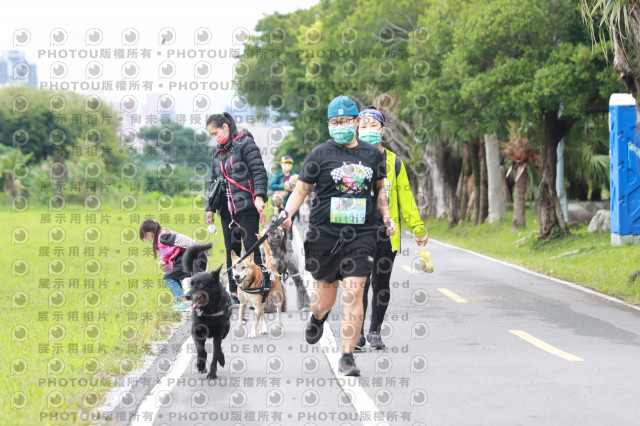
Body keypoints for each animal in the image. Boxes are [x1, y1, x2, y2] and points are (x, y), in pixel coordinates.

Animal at [181, 243, 231, 380]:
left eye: (201, 285)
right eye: (191, 283)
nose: (187, 296)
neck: (209, 311)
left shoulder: (218, 334)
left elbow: (215, 353)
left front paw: (212, 373)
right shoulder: (196, 332)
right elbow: (201, 350)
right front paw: (200, 366)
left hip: (226, 330)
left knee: (219, 348)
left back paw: (221, 359)